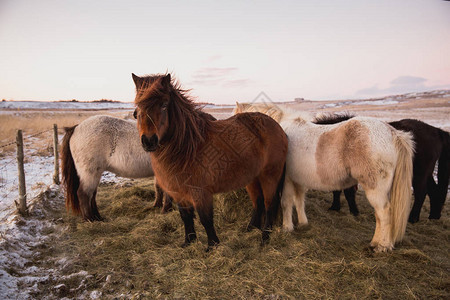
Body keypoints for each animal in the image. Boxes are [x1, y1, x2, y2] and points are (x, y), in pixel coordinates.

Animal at [133, 73, 288, 248]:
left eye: (164, 105)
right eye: (138, 107)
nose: (149, 141)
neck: (188, 148)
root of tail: (278, 127)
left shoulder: (201, 193)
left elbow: (205, 219)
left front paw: (212, 245)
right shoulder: (179, 193)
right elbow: (186, 217)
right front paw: (188, 242)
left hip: (270, 176)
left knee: (269, 204)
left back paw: (265, 238)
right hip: (252, 178)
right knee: (258, 202)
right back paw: (250, 228)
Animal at [236, 102, 414, 251]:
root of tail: (393, 133)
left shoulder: (286, 180)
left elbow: (286, 202)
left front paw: (287, 228)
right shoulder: (298, 180)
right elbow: (299, 200)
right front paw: (302, 223)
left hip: (375, 189)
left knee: (384, 214)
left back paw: (381, 246)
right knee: (381, 216)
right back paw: (379, 243)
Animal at [316, 115, 450, 223]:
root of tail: (436, 131)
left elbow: (348, 193)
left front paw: (354, 212)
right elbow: (337, 190)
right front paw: (335, 208)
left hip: (419, 173)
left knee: (421, 193)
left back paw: (412, 219)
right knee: (433, 191)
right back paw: (433, 216)